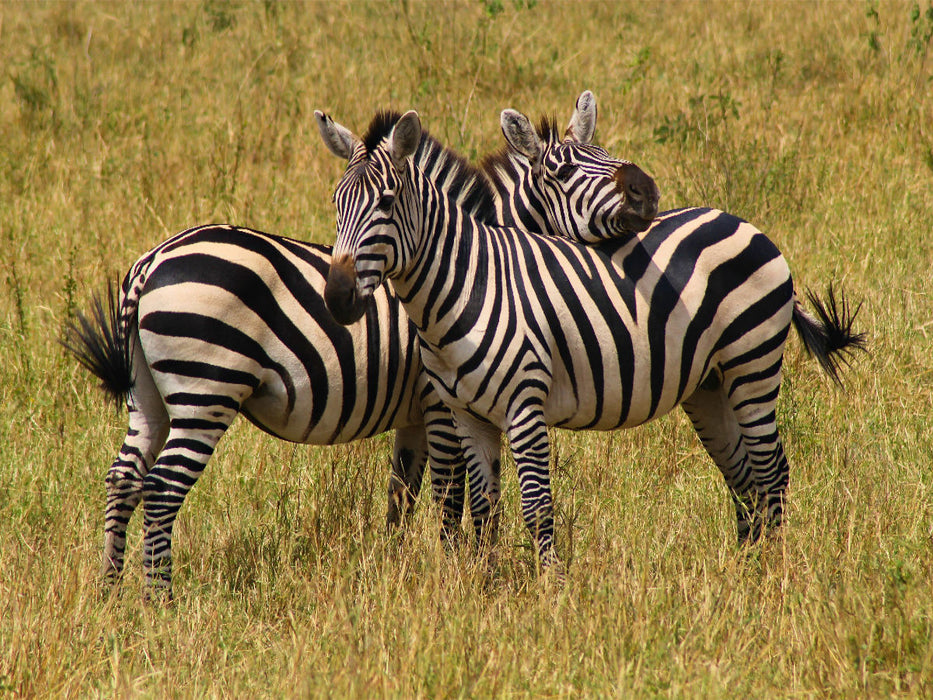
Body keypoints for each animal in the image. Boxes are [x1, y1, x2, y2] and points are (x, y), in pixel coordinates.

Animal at [64, 92, 659, 597]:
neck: (475, 265)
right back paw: (158, 602)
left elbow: (403, 495)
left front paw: (397, 567)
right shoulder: (440, 403)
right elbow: (452, 495)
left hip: (150, 395)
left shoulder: (415, 416)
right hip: (205, 391)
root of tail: (150, 262)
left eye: (605, 155)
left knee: (123, 478)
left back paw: (110, 592)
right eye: (564, 172)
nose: (647, 192)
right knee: (161, 489)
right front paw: (457, 570)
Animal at [317, 108, 865, 574]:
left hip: (753, 365)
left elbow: (531, 506)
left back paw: (774, 577)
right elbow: (484, 509)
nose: (338, 297)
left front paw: (550, 593)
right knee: (745, 477)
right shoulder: (466, 414)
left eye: (387, 203)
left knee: (772, 473)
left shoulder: (521, 406)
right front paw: (484, 589)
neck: (468, 283)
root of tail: (742, 222)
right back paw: (747, 572)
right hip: (710, 385)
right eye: (335, 205)